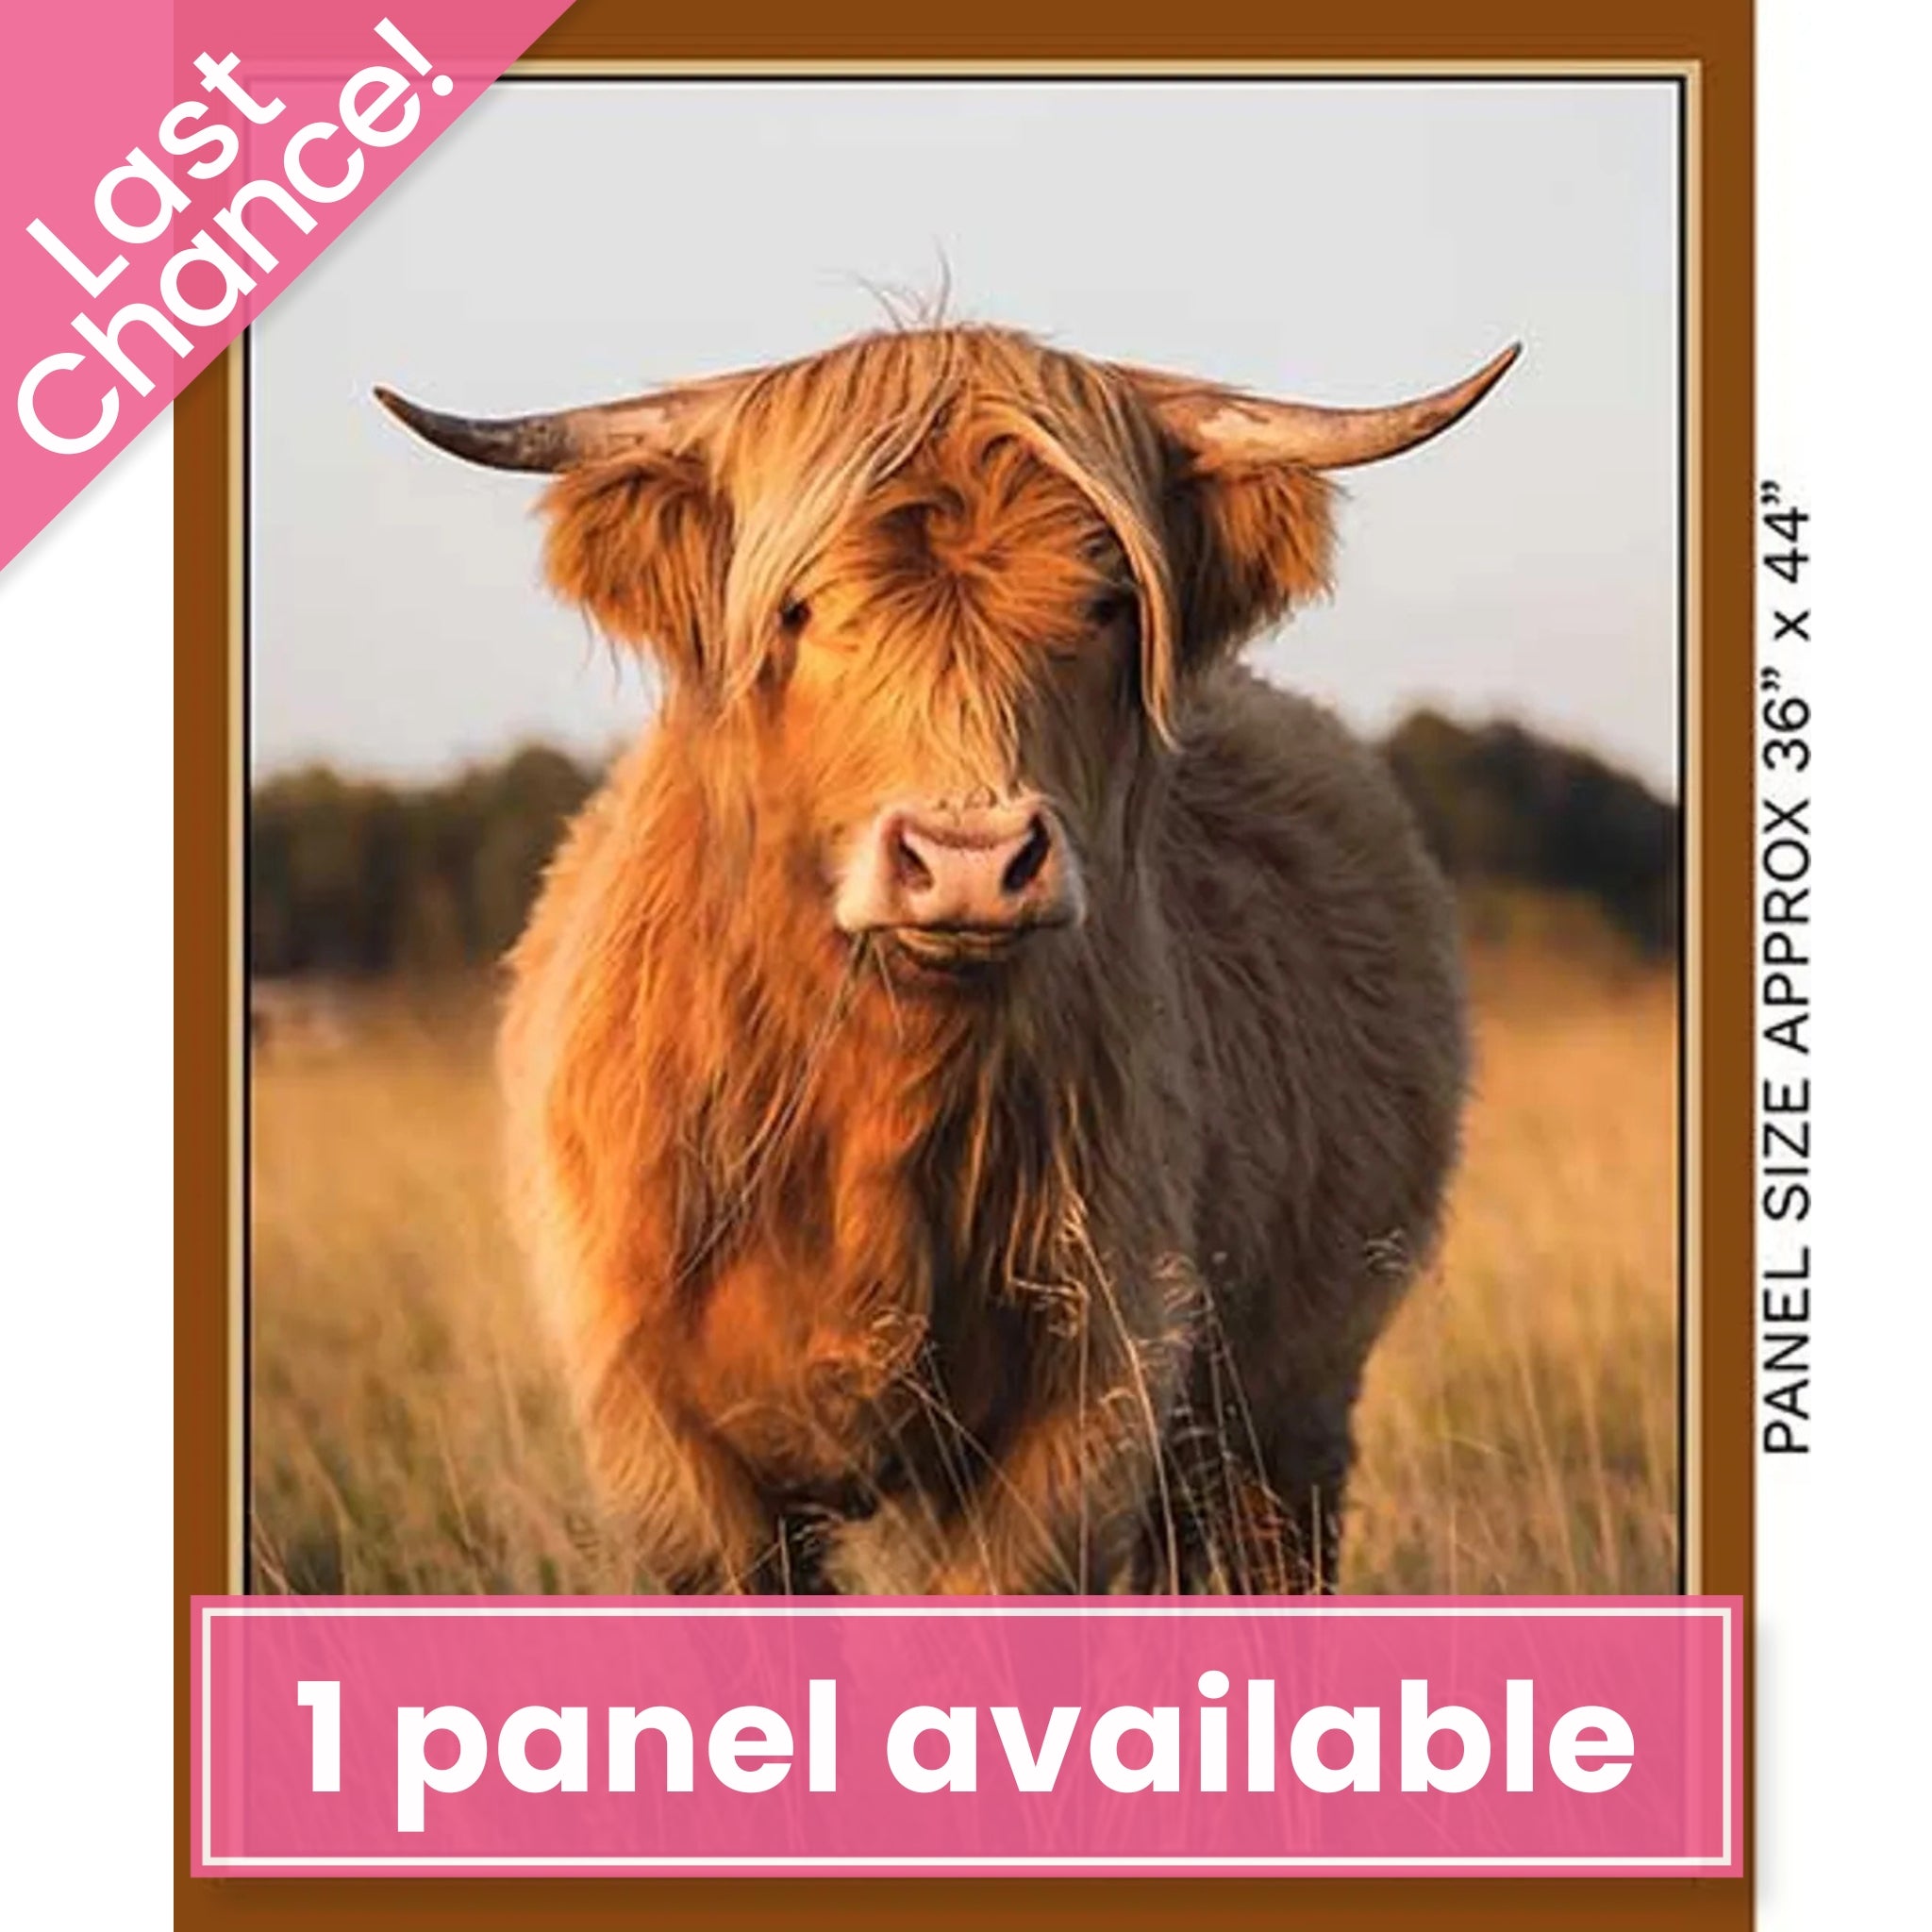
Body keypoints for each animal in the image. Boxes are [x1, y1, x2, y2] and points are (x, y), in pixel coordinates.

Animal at [377, 323, 1517, 1595]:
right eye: (800, 608)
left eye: (1105, 602)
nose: (969, 857)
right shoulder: (667, 1441)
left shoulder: (1088, 1408)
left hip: (1286, 1413)